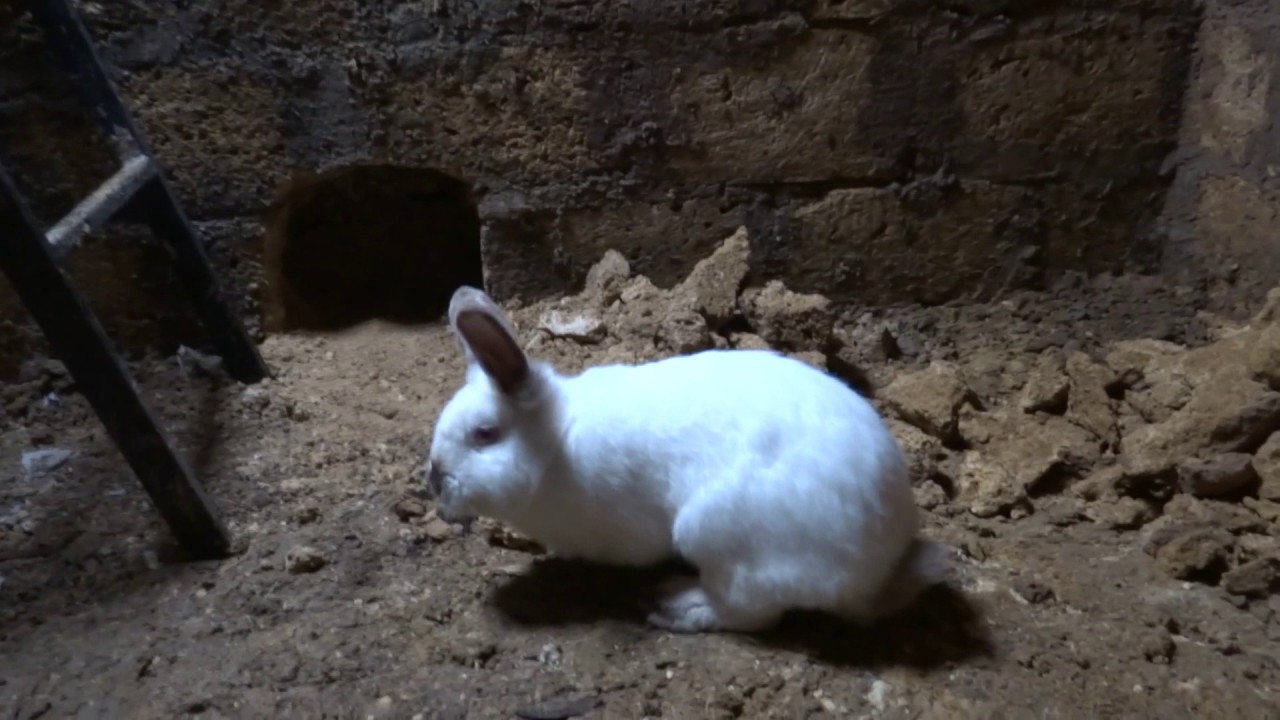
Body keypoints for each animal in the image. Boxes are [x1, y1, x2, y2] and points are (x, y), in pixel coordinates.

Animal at [424, 285, 951, 633]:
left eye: (485, 434)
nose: (435, 481)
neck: (555, 445)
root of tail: (874, 574)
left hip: (719, 538)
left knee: (749, 613)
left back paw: (674, 604)